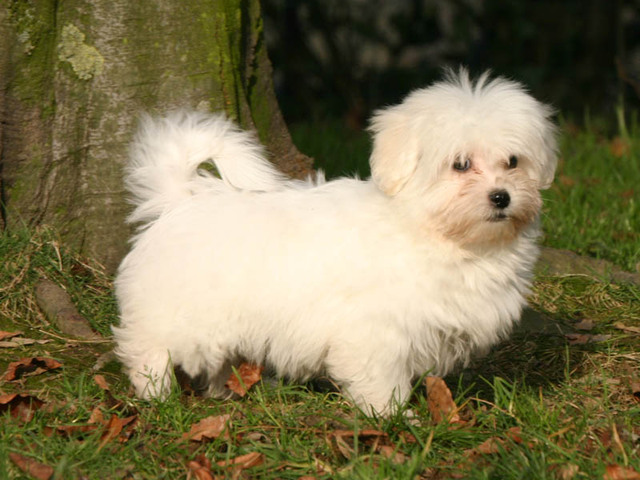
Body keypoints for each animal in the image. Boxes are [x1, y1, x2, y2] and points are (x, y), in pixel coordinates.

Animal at [114, 68, 556, 416]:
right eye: (460, 165)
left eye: (513, 162)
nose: (501, 197)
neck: (433, 231)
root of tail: (180, 200)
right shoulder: (376, 330)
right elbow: (381, 377)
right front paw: (392, 417)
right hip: (180, 311)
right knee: (147, 342)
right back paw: (156, 391)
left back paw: (225, 389)